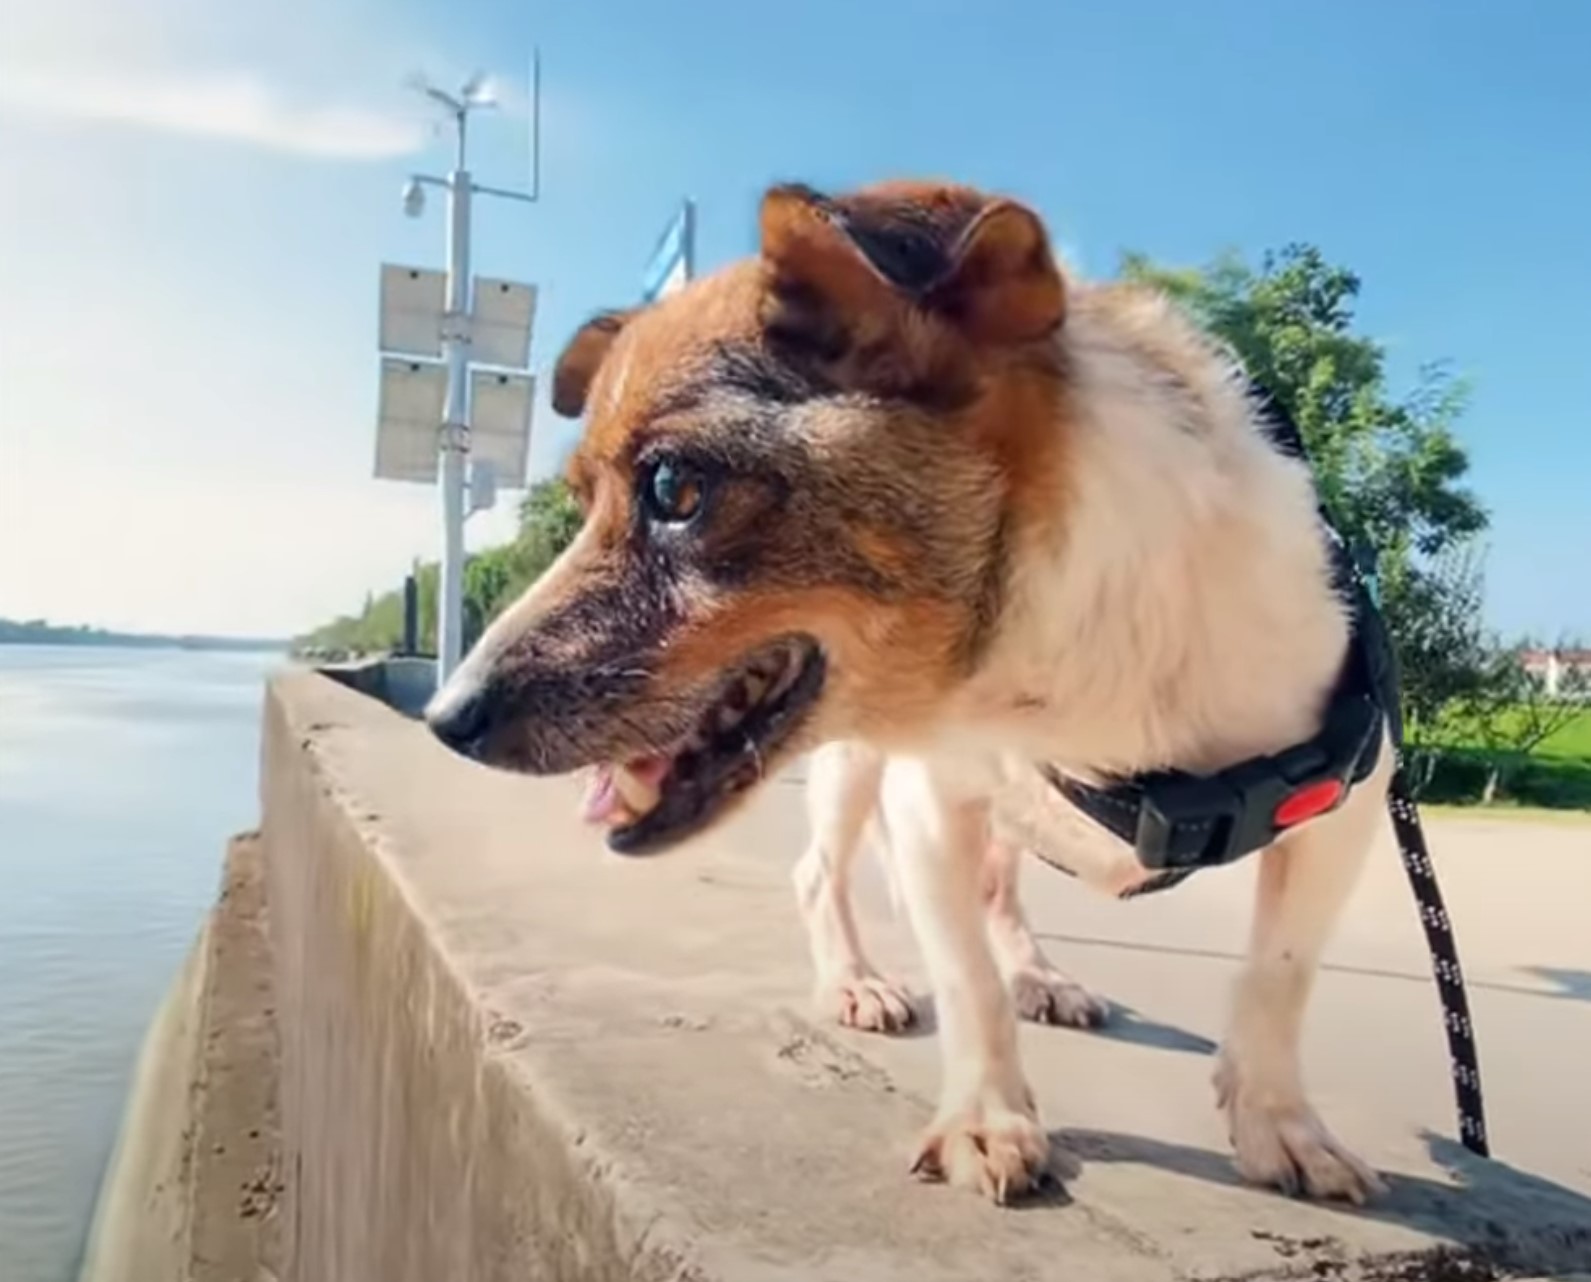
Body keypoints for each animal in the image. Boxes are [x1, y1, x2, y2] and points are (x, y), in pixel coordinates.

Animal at [429, 178, 1387, 1202]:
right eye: (582, 503)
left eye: (673, 487)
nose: (446, 718)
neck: (1045, 672)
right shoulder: (930, 798)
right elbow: (965, 977)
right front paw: (987, 1118)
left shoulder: (1347, 809)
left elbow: (1277, 976)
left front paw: (1280, 1124)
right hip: (853, 773)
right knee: (821, 874)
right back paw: (856, 979)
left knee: (1001, 889)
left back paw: (1040, 974)